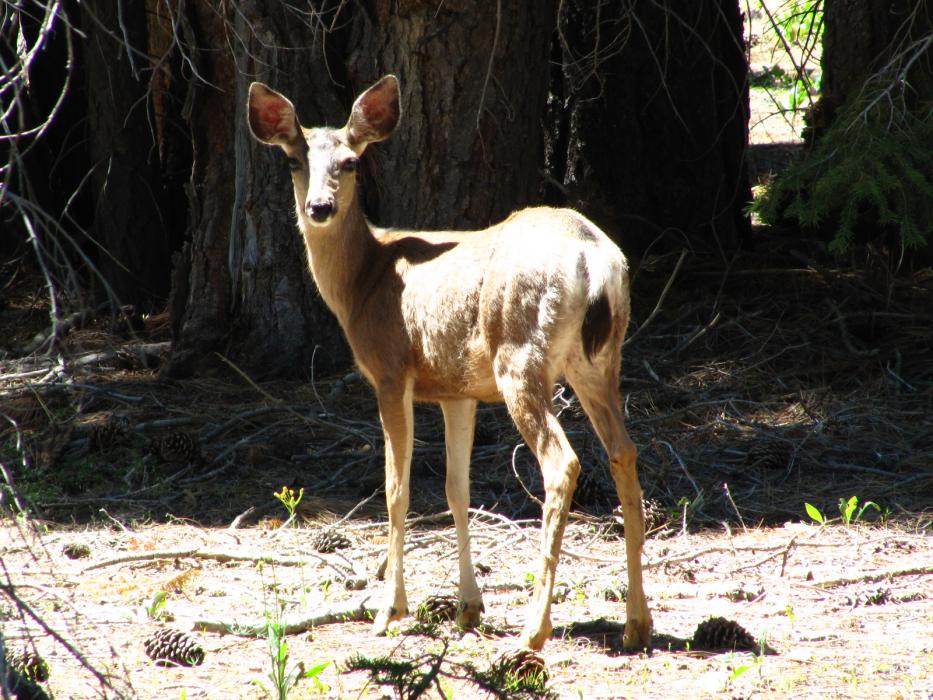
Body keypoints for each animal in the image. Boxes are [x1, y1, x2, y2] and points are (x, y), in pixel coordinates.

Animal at [246, 74, 652, 654]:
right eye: (294, 160)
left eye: (350, 162)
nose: (319, 207)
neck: (363, 280)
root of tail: (595, 257)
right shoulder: (456, 391)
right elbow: (456, 489)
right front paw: (467, 608)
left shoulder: (391, 370)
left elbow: (397, 490)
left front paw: (389, 609)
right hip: (598, 361)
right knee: (624, 452)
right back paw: (636, 623)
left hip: (519, 356)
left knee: (563, 462)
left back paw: (534, 629)